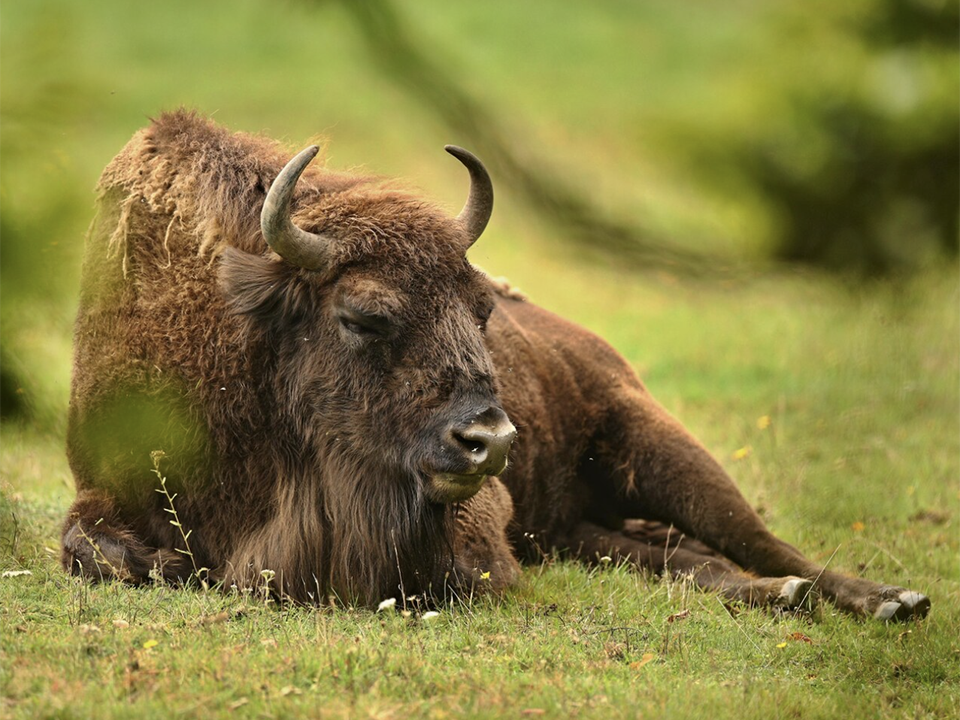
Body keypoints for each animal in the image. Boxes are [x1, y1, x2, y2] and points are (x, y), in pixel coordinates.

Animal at [62, 109, 928, 620]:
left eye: (480, 307)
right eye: (364, 315)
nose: (491, 442)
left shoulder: (476, 527)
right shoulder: (99, 490)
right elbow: (95, 551)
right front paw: (163, 562)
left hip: (661, 448)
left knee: (759, 540)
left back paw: (887, 599)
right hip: (577, 528)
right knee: (681, 558)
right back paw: (792, 595)